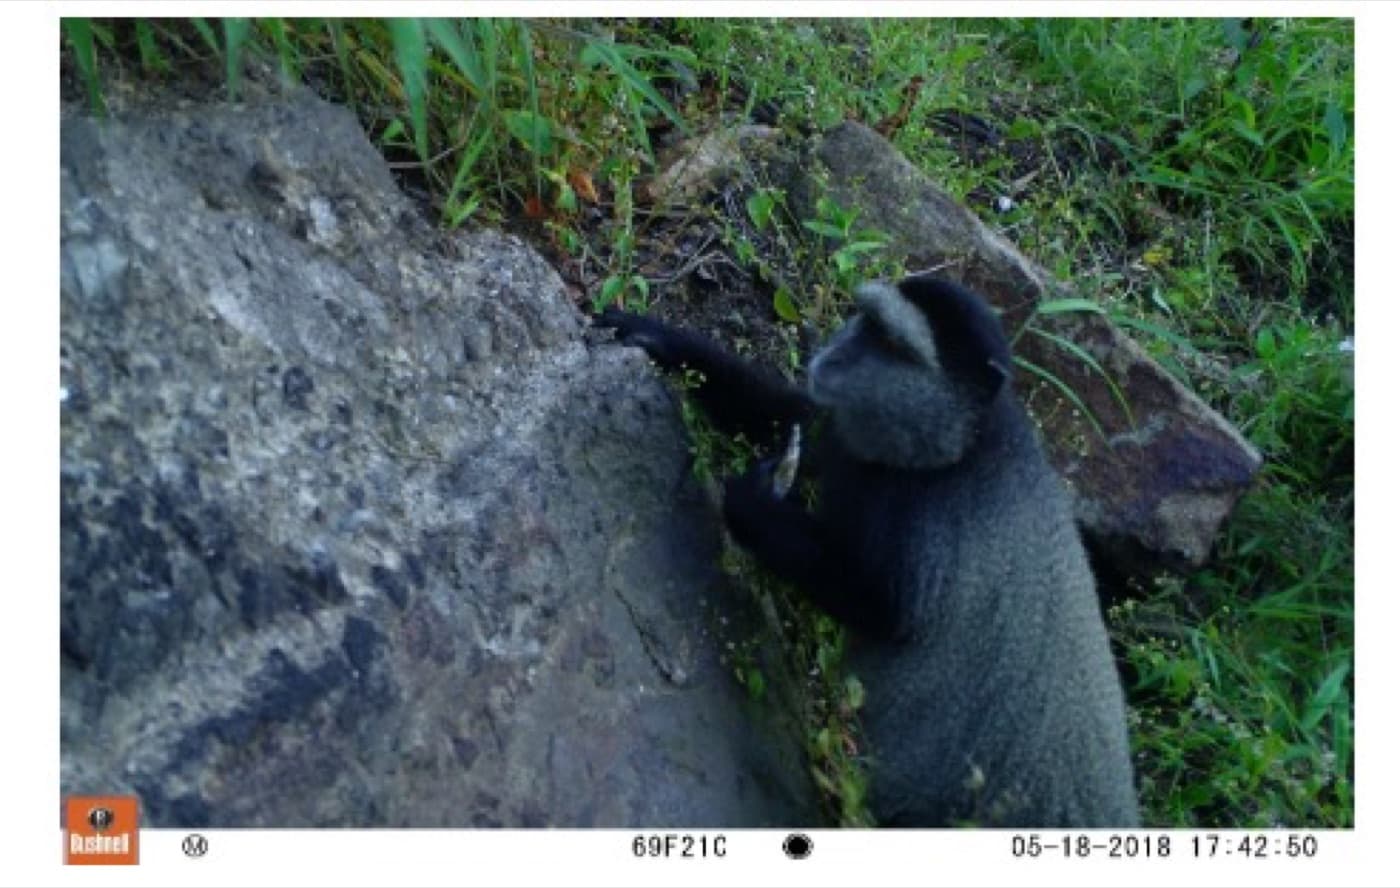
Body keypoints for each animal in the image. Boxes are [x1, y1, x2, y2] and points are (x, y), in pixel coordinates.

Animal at [596, 273, 1140, 828]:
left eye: (891, 344)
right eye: (865, 321)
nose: (834, 351)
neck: (964, 446)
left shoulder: (930, 526)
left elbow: (878, 608)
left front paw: (753, 507)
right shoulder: (847, 430)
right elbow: (792, 417)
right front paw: (666, 341)